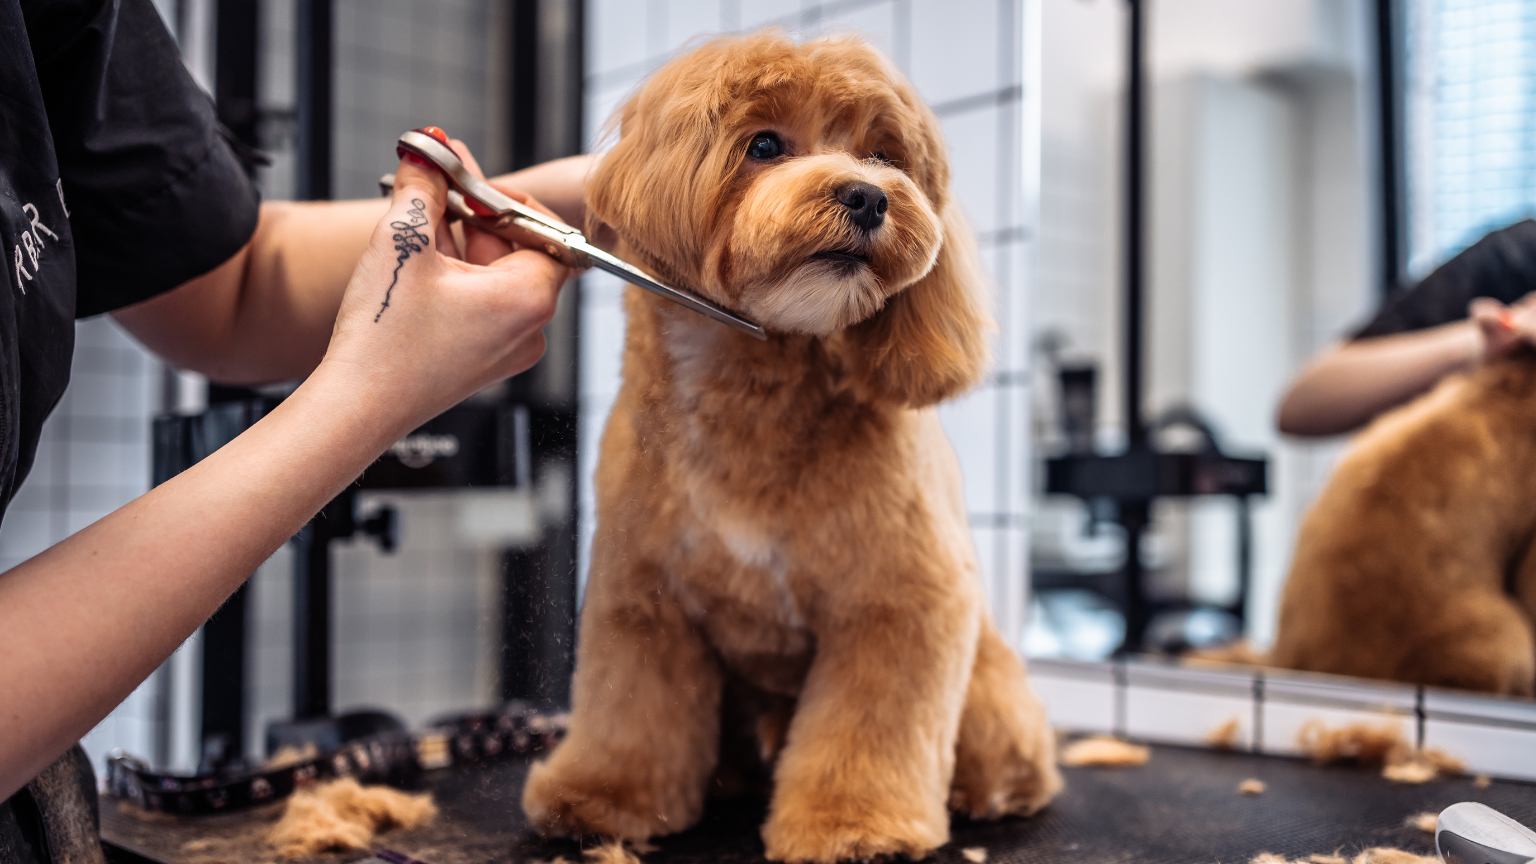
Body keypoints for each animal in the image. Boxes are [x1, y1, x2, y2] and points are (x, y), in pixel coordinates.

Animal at [522, 30, 1062, 854]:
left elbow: (868, 729)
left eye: (883, 155)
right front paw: (603, 795)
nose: (868, 195)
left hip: (988, 690)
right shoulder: (642, 598)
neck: (753, 395)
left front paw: (854, 825)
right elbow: (630, 711)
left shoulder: (900, 600)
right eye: (765, 145)